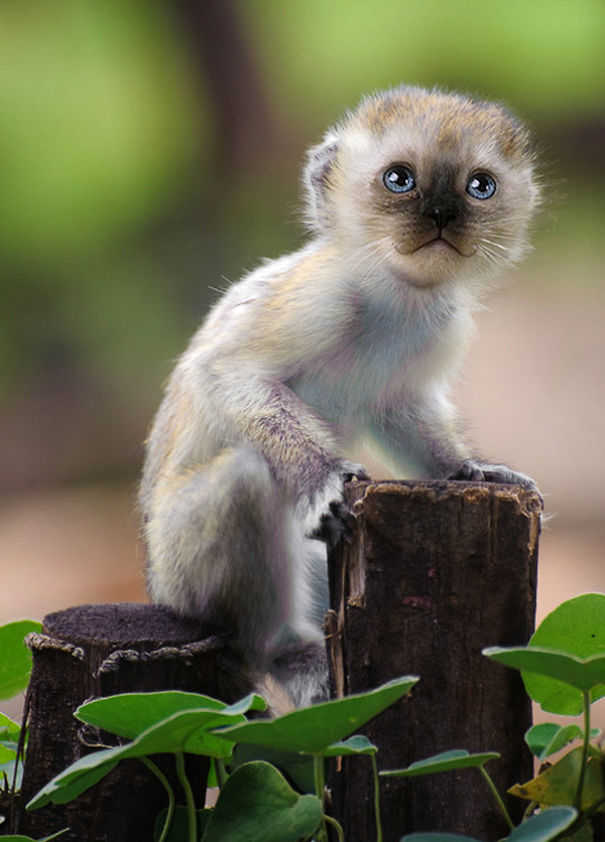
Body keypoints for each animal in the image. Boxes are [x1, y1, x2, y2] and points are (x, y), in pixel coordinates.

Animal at [139, 84, 541, 708]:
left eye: (480, 185)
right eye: (400, 179)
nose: (442, 215)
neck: (398, 294)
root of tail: (155, 585)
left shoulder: (441, 326)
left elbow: (400, 410)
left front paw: (470, 471)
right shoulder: (324, 297)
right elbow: (229, 374)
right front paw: (323, 479)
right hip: (179, 570)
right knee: (245, 479)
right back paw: (283, 651)